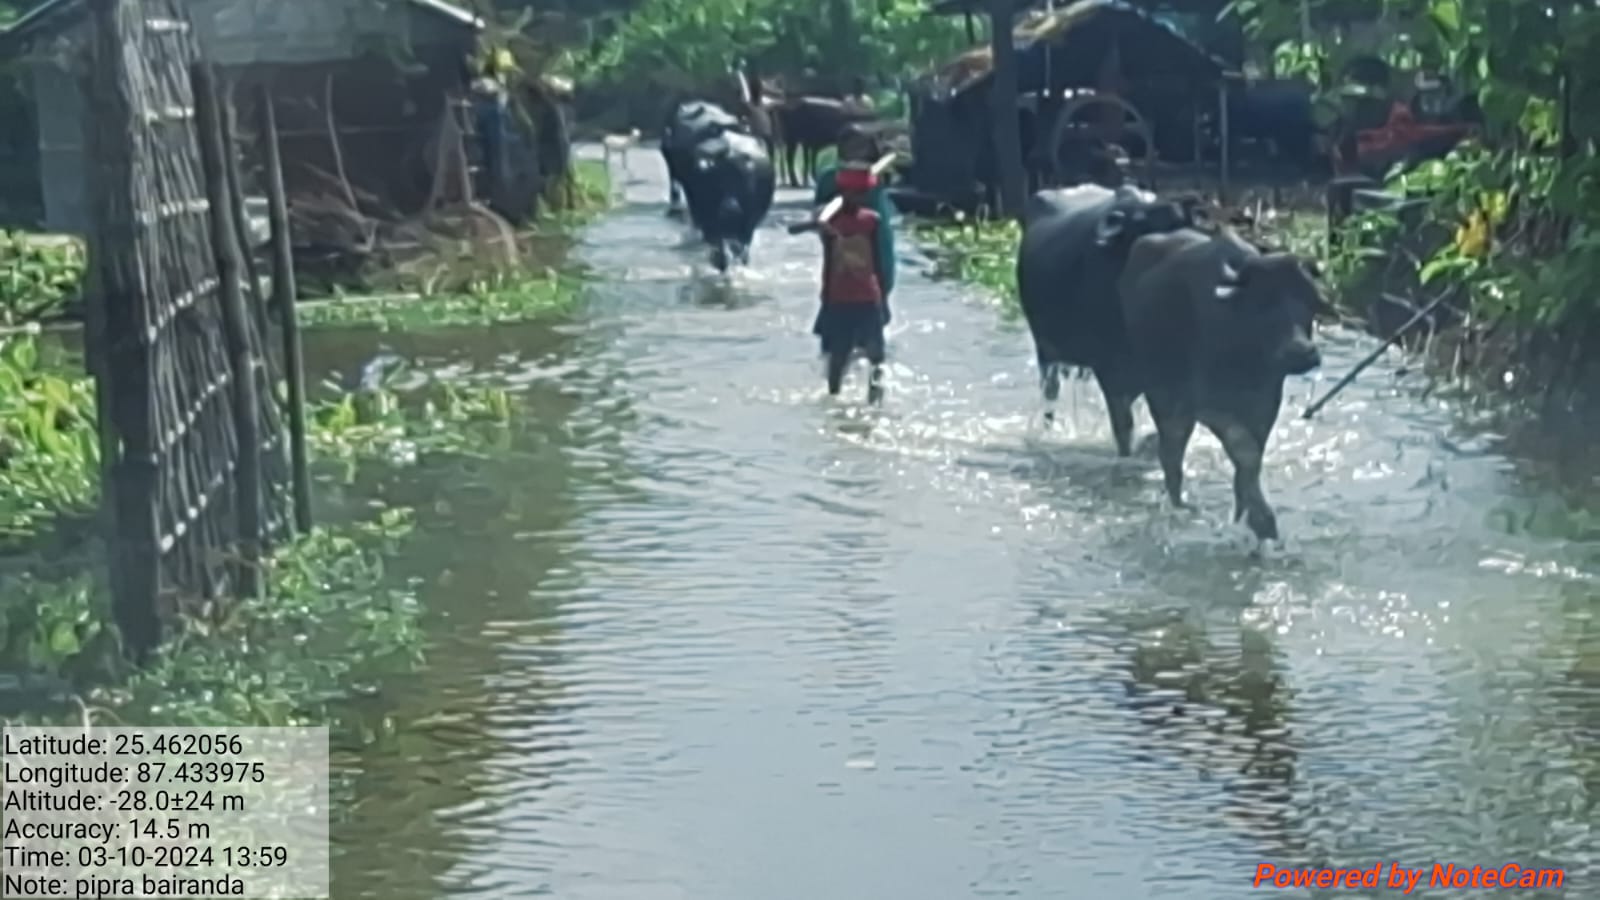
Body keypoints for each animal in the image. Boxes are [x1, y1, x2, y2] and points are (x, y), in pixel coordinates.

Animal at [1015, 184, 1200, 449]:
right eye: (1145, 224)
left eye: (1184, 224)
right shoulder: (1110, 371)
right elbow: (1123, 424)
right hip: (1046, 350)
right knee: (1050, 391)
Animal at [1117, 228, 1324, 541]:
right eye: (1264, 299)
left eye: (1310, 299)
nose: (1301, 351)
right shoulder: (1210, 407)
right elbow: (1245, 451)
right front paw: (1262, 519)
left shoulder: (1264, 407)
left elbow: (1250, 462)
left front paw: (1247, 513)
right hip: (1163, 397)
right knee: (1171, 455)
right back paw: (1179, 505)